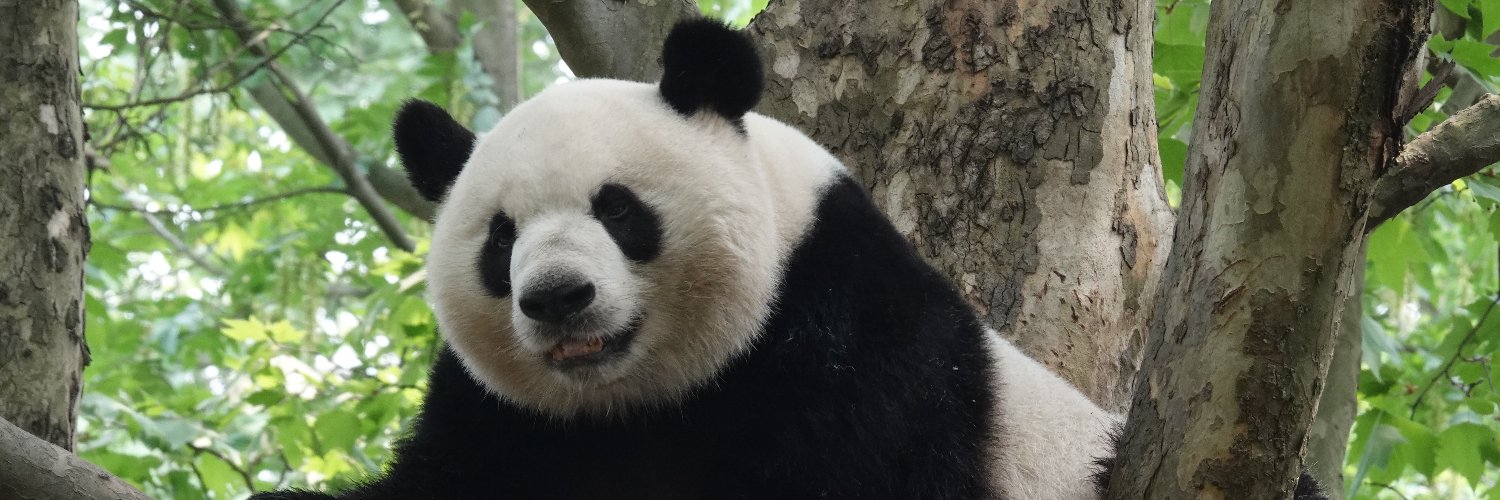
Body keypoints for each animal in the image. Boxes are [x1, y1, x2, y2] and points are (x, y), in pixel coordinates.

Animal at [254, 19, 1324, 500]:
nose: (557, 299)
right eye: (501, 239)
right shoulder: (503, 419)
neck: (642, 399)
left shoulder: (855, 333)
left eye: (619, 210)